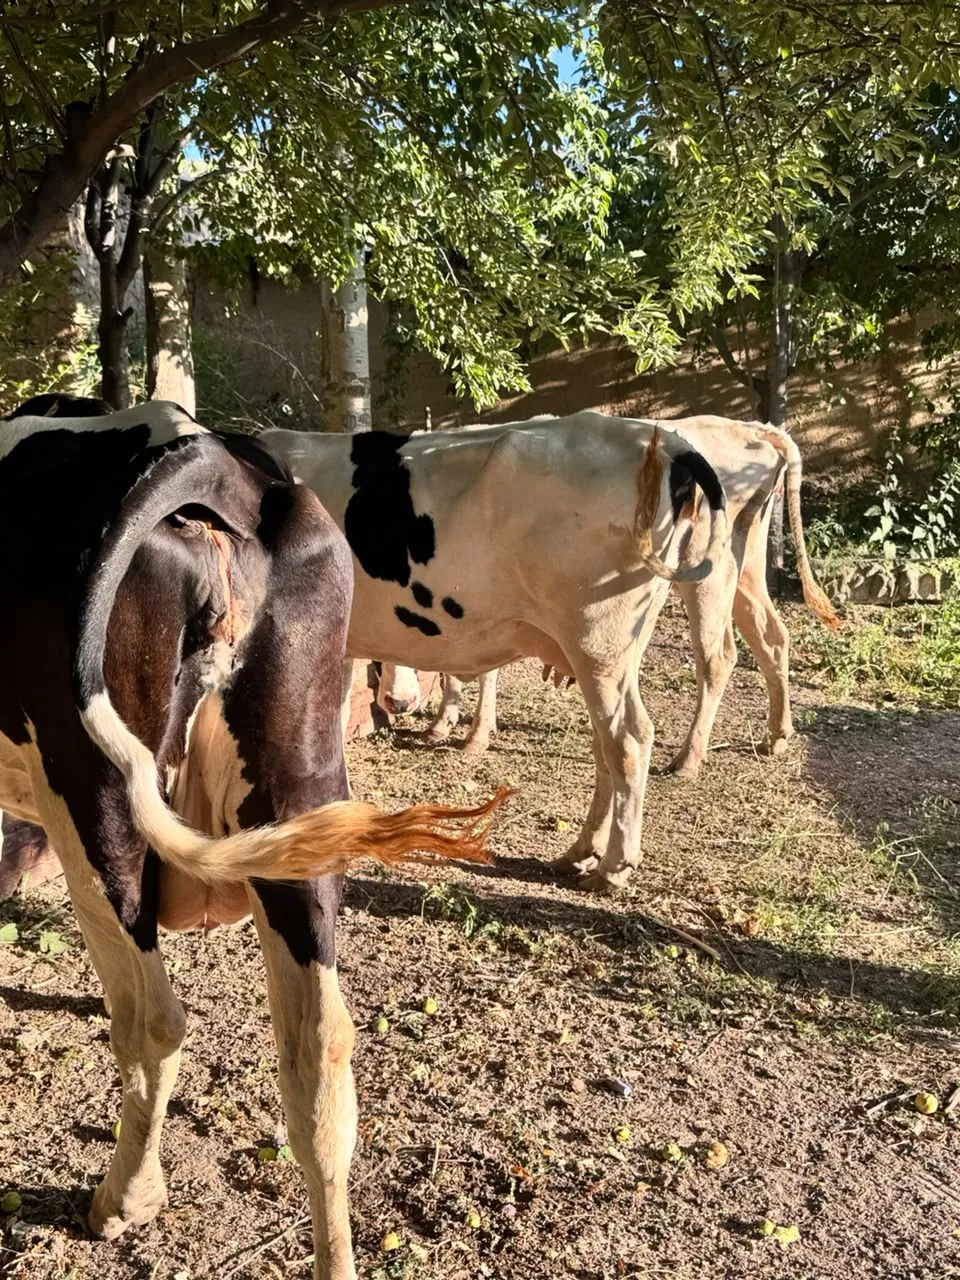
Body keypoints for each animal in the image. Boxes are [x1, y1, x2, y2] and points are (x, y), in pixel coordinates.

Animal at [0, 396, 504, 1279]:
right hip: (297, 788)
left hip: (91, 793)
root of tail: (206, 454)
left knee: (153, 1017)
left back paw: (125, 1199)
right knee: (319, 1054)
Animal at [262, 412, 730, 895]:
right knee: (606, 745)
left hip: (599, 643)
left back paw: (614, 866)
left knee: (629, 740)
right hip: (616, 648)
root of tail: (658, 439)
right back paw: (581, 851)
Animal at [376, 416, 839, 779]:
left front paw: (473, 735)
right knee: (771, 636)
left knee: (718, 657)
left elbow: (483, 671)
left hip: (707, 572)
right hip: (746, 568)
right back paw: (778, 735)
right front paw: (443, 721)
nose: (398, 702)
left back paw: (688, 759)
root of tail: (752, 429)